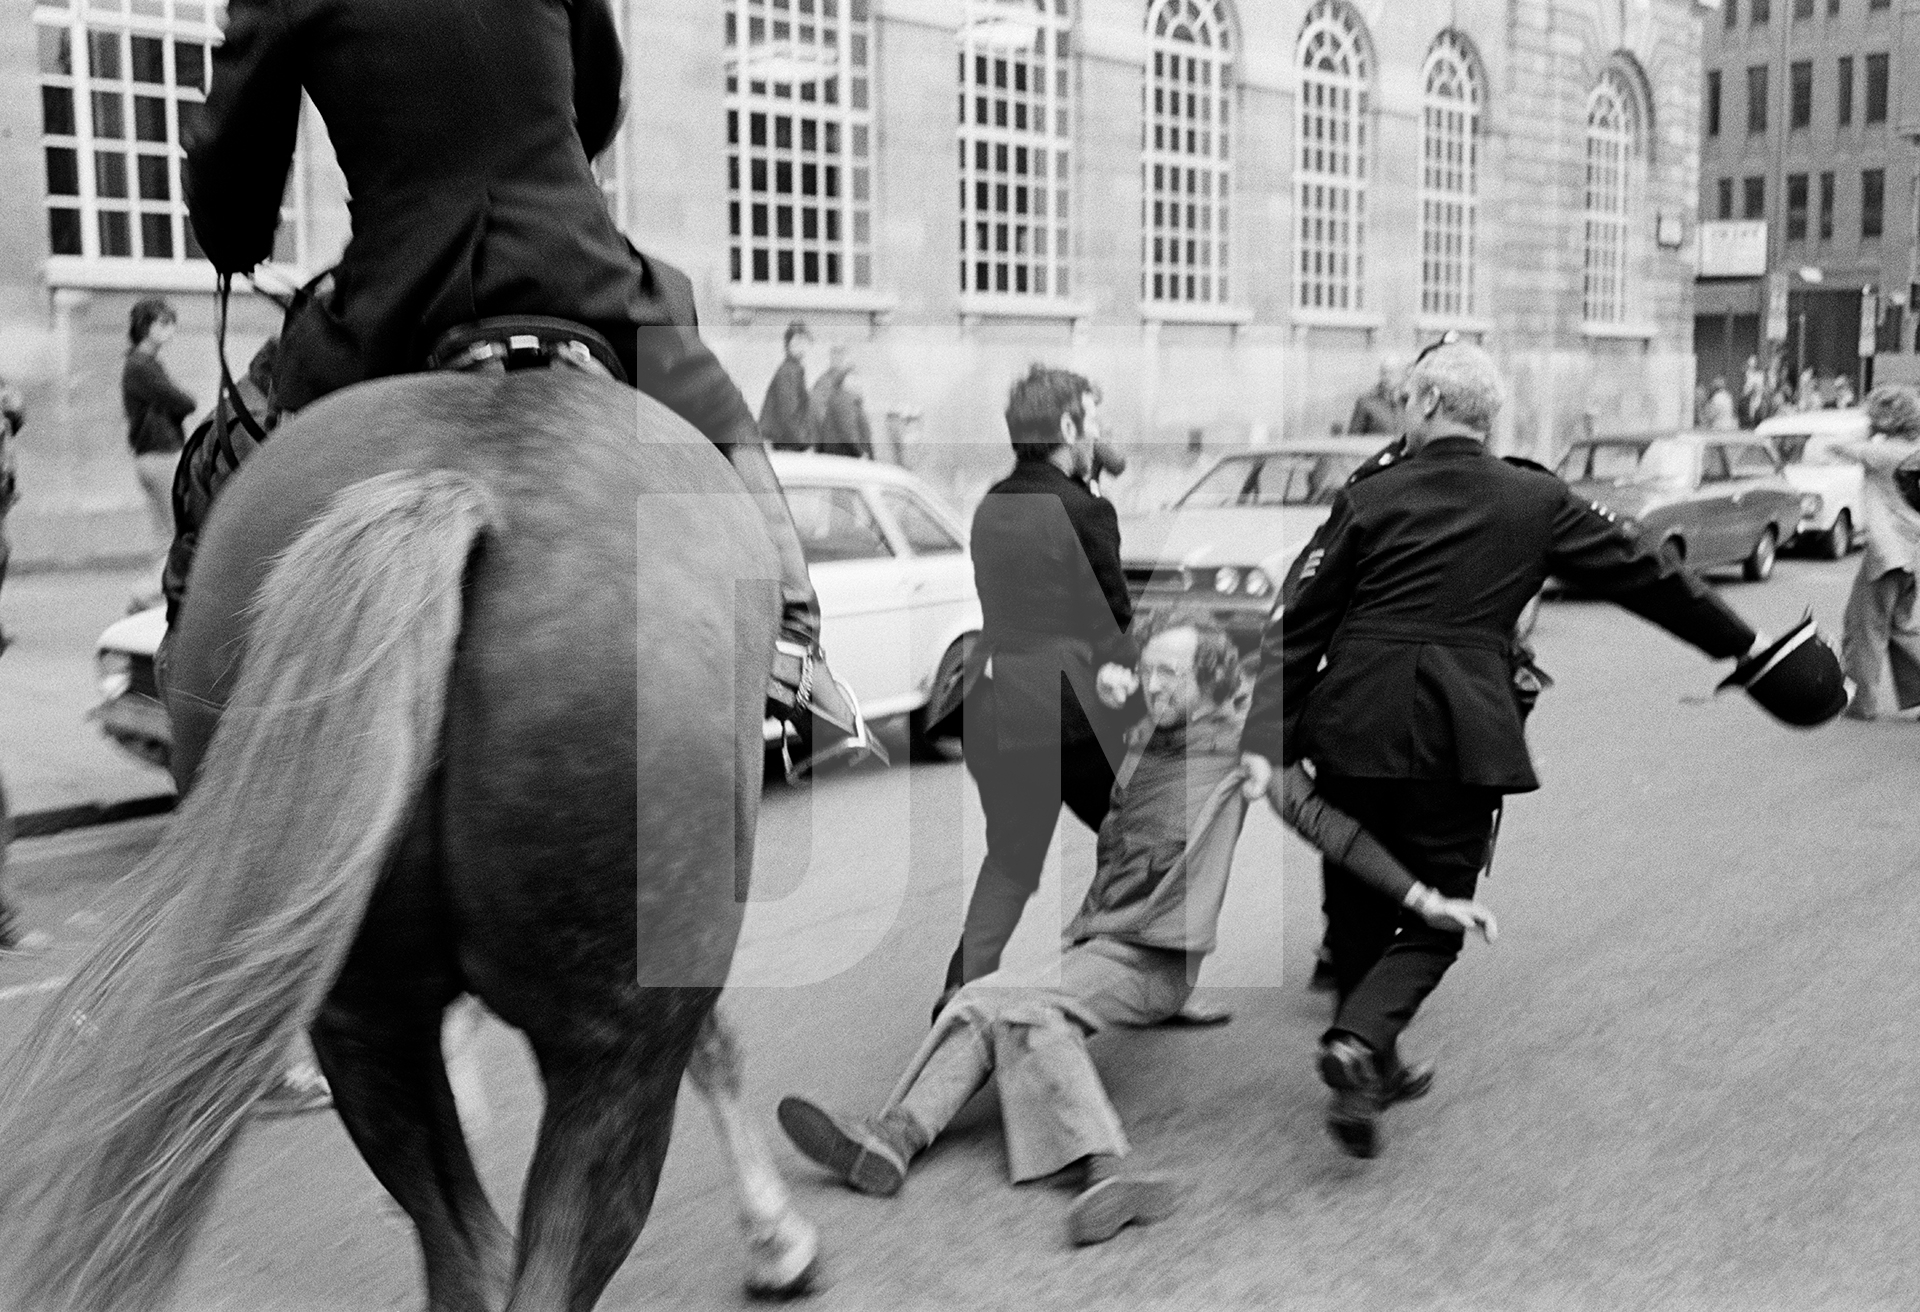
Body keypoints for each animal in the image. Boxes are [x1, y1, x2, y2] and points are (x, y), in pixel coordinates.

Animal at [0, 368, 817, 1312]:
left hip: (365, 1018)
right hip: (614, 1040)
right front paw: (776, 1239)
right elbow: (717, 1049)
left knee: (462, 1246)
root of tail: (458, 482)